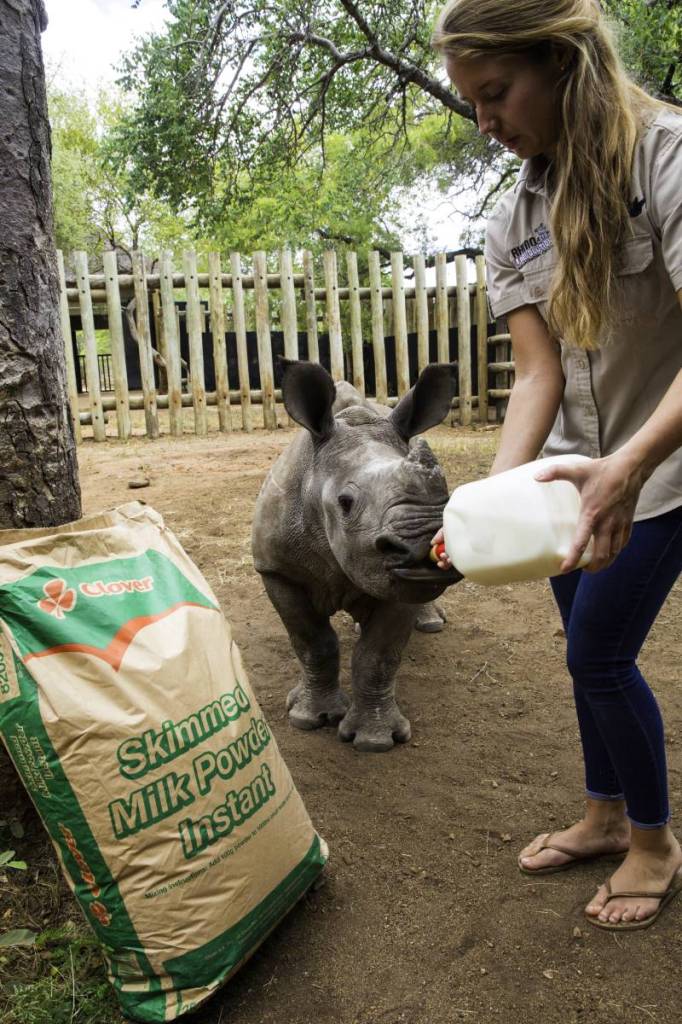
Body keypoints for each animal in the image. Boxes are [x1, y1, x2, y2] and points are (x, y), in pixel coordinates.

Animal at [251, 360, 458, 753]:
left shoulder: (399, 580)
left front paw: (375, 740)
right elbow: (313, 643)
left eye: (448, 496)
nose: (423, 543)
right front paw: (309, 718)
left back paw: (430, 624)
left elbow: (378, 656)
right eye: (345, 503)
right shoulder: (276, 569)